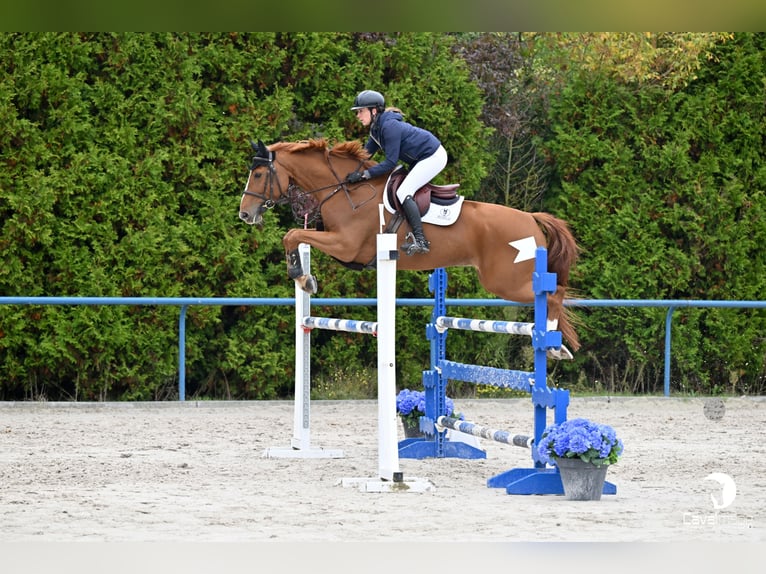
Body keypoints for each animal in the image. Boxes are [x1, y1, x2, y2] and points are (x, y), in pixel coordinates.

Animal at [240, 139, 584, 356]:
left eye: (259, 174)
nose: (244, 214)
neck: (345, 192)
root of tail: (531, 218)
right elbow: (295, 235)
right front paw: (305, 277)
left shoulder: (346, 245)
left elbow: (292, 234)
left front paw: (302, 277)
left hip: (504, 281)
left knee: (555, 293)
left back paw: (552, 343)